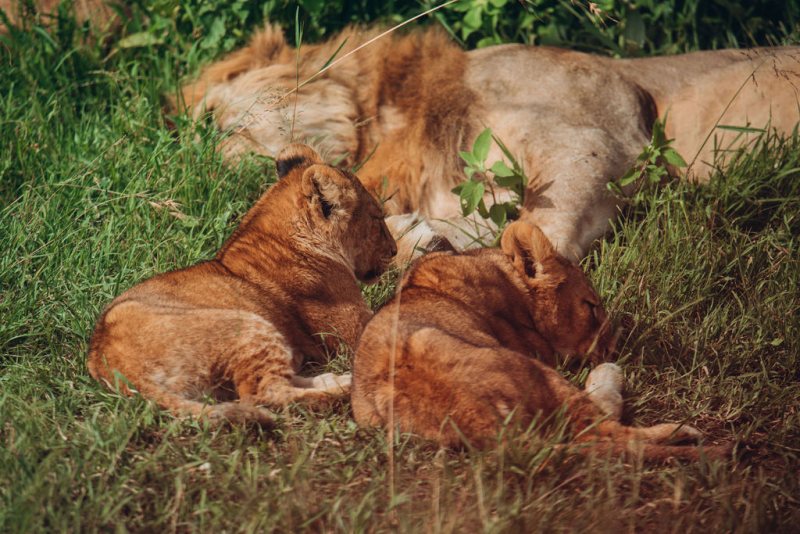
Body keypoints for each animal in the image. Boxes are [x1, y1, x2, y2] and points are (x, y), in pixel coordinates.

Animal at [87, 143, 397, 424]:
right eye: (377, 218)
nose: (394, 251)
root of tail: (109, 359)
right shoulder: (353, 330)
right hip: (248, 326)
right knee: (265, 395)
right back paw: (349, 389)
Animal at [175, 24, 800, 261]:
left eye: (216, 121)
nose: (214, 169)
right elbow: (478, 227)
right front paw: (418, 242)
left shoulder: (600, 140)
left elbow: (540, 233)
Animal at [351, 221, 730, 461]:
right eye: (591, 307)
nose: (612, 348)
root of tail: (482, 422)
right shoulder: (543, 355)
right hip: (537, 372)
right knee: (606, 431)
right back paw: (680, 428)